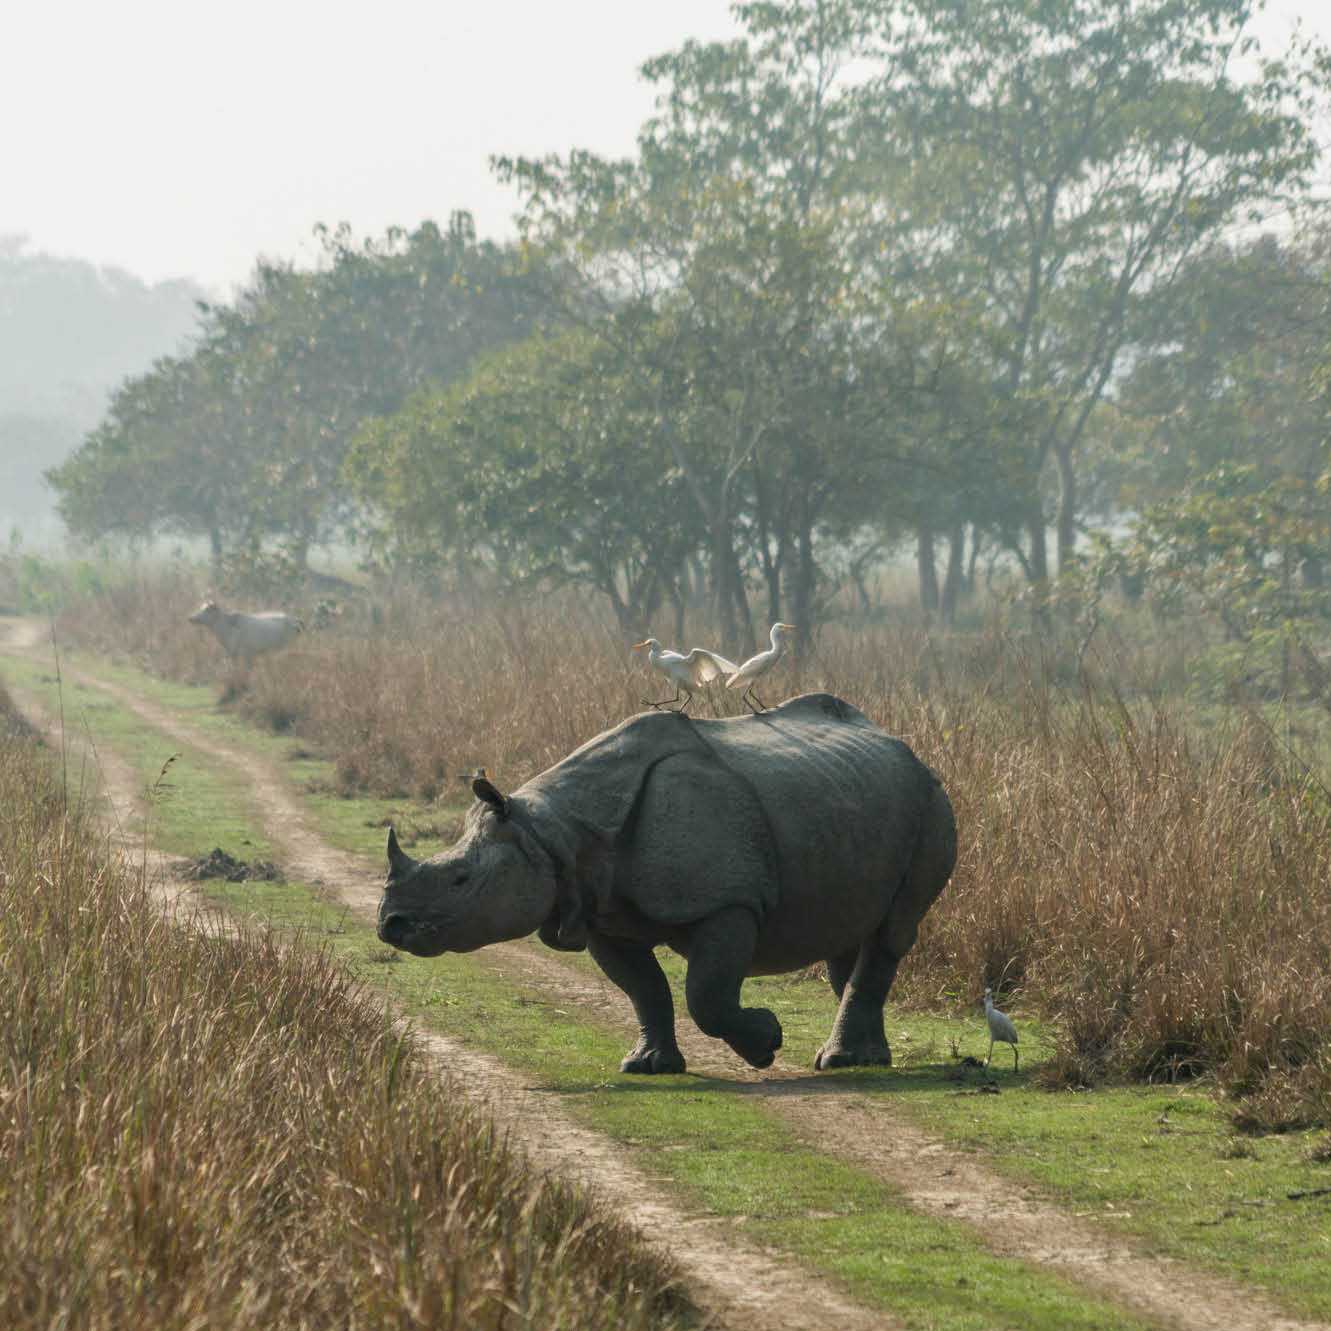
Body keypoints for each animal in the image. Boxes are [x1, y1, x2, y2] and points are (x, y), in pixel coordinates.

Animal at [377, 693, 956, 1074]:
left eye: (460, 880)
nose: (390, 925)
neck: (551, 833)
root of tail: (903, 745)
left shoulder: (729, 901)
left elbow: (706, 995)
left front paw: (765, 1042)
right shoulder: (601, 913)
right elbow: (644, 989)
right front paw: (649, 1065)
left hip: (931, 798)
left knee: (892, 929)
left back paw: (841, 1061)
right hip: (854, 797)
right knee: (853, 933)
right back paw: (864, 1058)